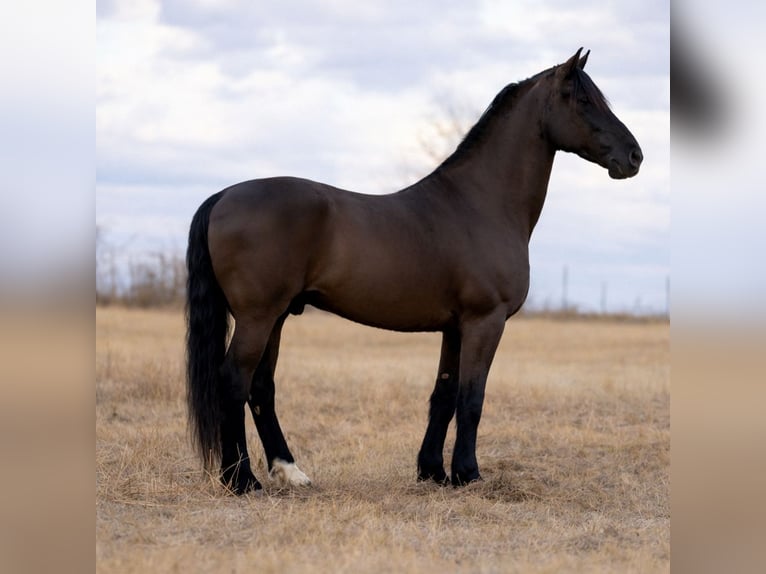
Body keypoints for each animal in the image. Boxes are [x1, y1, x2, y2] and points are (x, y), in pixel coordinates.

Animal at [186, 48, 643, 494]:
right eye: (582, 100)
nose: (634, 156)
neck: (480, 204)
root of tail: (223, 196)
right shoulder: (485, 321)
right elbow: (471, 398)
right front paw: (468, 474)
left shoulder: (455, 327)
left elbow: (444, 394)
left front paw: (433, 472)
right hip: (258, 317)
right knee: (235, 381)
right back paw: (241, 480)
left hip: (278, 316)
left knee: (262, 387)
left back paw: (289, 472)